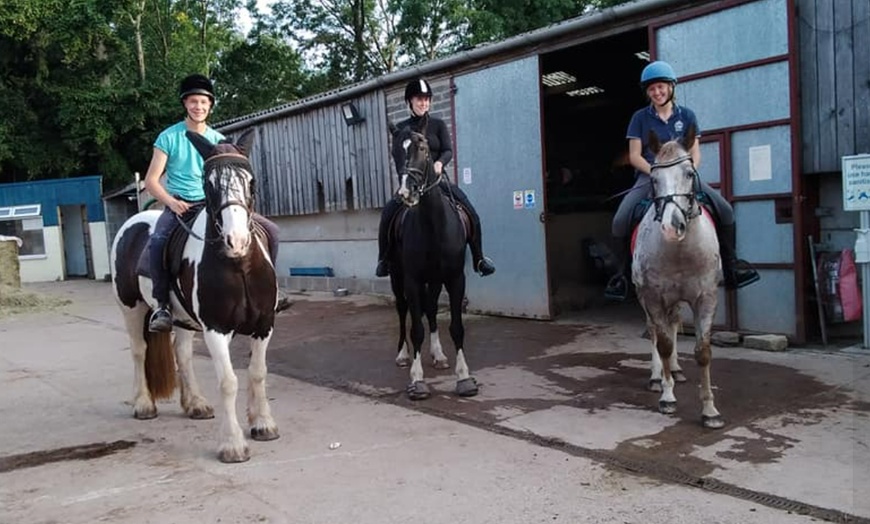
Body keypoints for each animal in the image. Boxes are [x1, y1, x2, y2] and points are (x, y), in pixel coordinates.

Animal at [111, 130, 282, 462]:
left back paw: (196, 404)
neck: (239, 265)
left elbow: (258, 372)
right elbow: (228, 381)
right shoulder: (216, 328)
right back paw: (143, 404)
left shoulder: (263, 324)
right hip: (131, 308)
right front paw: (232, 444)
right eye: (209, 184)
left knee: (183, 354)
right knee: (139, 350)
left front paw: (263, 423)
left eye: (251, 181)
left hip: (181, 318)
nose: (236, 241)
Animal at [390, 116, 480, 400]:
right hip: (396, 277)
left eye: (423, 149)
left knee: (429, 309)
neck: (433, 226)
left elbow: (456, 327)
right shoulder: (412, 279)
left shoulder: (455, 278)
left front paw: (464, 377)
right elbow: (415, 328)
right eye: (395, 152)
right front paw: (417, 380)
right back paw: (402, 354)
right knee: (403, 310)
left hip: (435, 280)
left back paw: (438, 355)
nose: (406, 192)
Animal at [632, 128, 724, 430]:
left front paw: (710, 411)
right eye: (653, 179)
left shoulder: (706, 298)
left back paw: (675, 369)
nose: (672, 227)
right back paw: (658, 377)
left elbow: (702, 352)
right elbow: (663, 343)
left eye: (688, 173)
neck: (681, 252)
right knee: (656, 331)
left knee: (672, 324)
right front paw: (667, 396)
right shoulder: (653, 297)